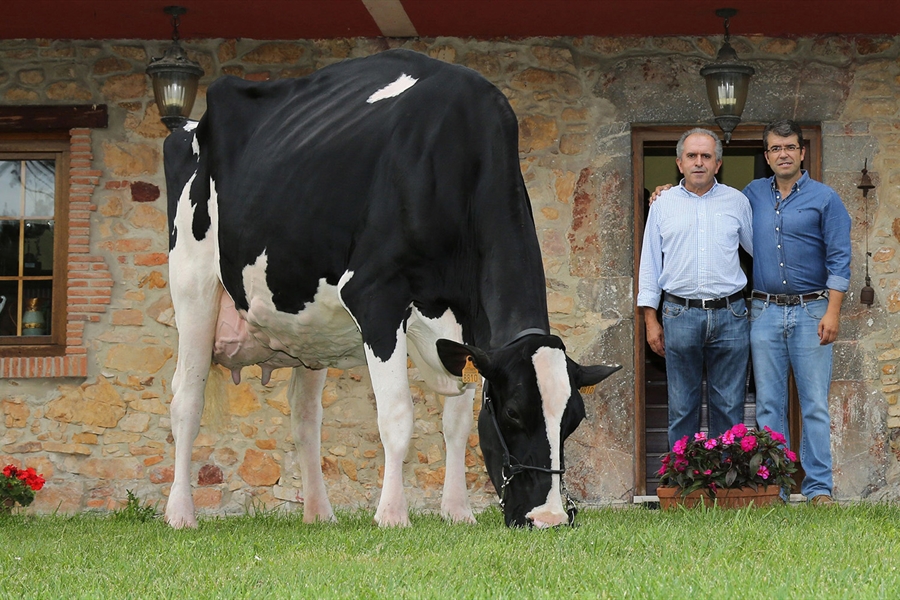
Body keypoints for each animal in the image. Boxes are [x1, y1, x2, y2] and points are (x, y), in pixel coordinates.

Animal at [163, 49, 620, 528]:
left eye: (574, 419)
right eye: (514, 412)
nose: (549, 517)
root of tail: (189, 124)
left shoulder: (466, 331)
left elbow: (456, 420)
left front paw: (457, 511)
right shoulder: (376, 298)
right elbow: (398, 416)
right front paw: (392, 515)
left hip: (308, 329)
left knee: (305, 417)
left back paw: (319, 514)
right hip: (192, 280)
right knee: (186, 399)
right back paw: (180, 513)